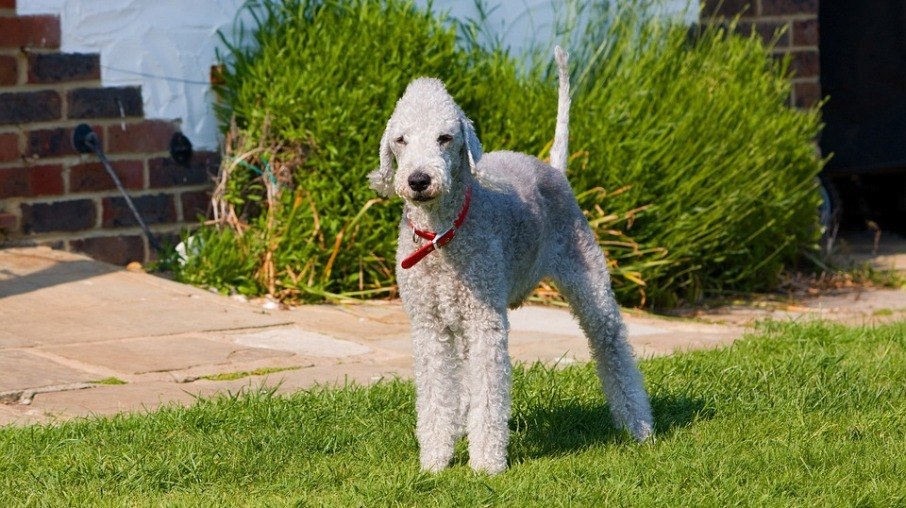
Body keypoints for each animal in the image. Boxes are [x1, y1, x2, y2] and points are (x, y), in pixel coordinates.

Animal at [368, 45, 648, 474]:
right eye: (400, 140)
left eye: (445, 138)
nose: (418, 180)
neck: (442, 235)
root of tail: (552, 168)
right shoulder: (429, 325)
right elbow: (436, 395)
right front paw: (434, 461)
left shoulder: (486, 322)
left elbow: (489, 394)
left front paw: (486, 464)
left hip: (587, 277)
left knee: (612, 344)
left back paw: (638, 425)